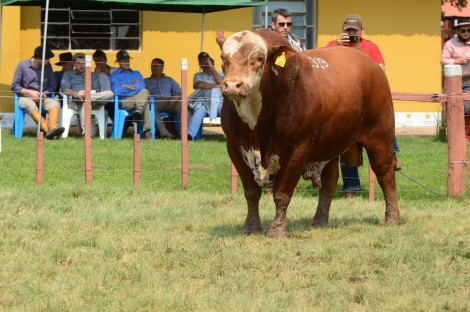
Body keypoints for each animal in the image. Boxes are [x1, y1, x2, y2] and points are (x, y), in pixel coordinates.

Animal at [217, 29, 400, 238]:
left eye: (259, 58)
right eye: (223, 57)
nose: (232, 85)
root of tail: (371, 64)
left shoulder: (298, 150)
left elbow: (282, 194)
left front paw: (278, 230)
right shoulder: (234, 147)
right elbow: (251, 192)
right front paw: (251, 227)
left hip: (380, 136)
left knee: (385, 173)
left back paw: (392, 218)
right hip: (330, 143)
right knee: (330, 180)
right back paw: (320, 220)